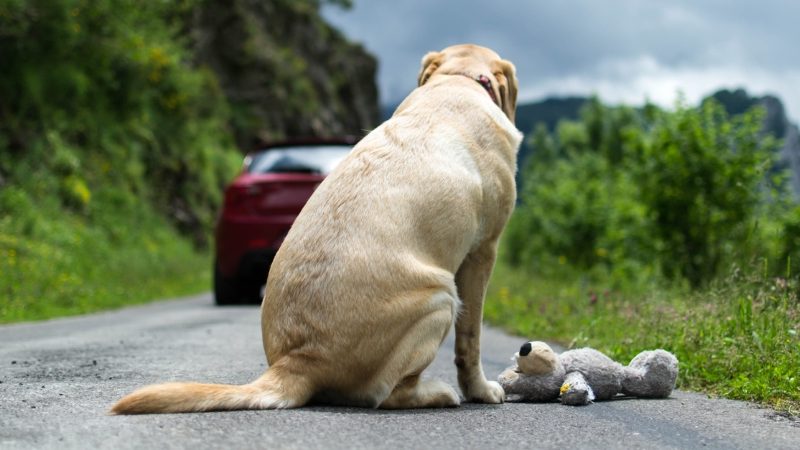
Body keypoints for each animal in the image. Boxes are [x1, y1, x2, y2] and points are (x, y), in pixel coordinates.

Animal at [114, 44, 524, 414]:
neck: (457, 79)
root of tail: (298, 361)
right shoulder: (483, 251)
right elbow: (470, 339)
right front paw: (481, 390)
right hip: (440, 296)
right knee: (386, 394)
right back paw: (438, 393)